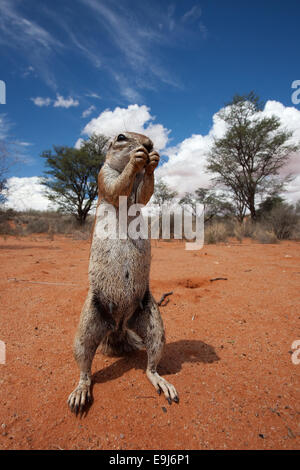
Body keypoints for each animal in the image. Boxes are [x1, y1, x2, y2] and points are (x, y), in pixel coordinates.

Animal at [68, 130, 178, 414]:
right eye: (120, 137)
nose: (149, 145)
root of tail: (118, 327)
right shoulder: (102, 175)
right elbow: (116, 186)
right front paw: (137, 159)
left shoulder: (138, 194)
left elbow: (143, 194)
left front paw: (153, 161)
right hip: (87, 325)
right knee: (84, 366)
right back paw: (80, 392)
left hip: (153, 322)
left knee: (151, 364)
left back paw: (161, 382)